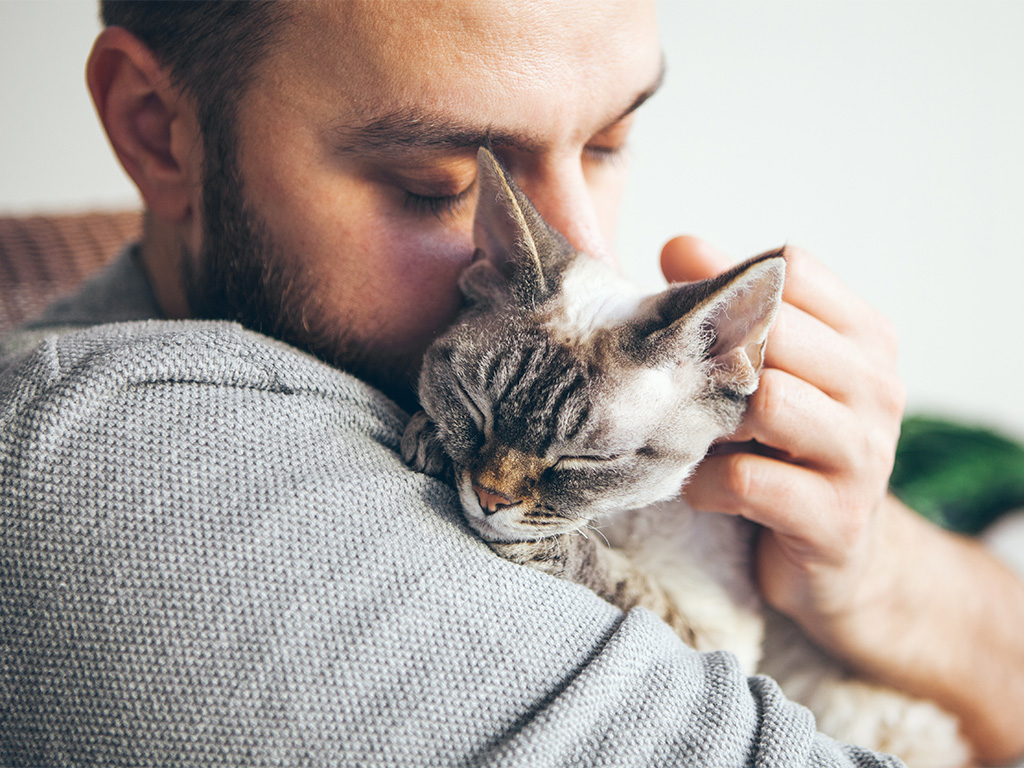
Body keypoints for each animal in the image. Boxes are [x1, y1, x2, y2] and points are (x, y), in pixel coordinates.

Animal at [399, 147, 966, 765]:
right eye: (473, 406)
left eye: (589, 460)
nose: (488, 497)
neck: (624, 519)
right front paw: (429, 437)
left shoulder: (720, 641)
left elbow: (627, 584)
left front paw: (550, 546)